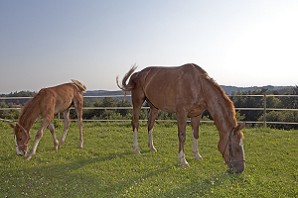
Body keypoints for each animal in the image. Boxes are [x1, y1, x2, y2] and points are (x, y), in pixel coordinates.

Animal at [117, 63, 246, 173]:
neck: (198, 84)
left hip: (154, 107)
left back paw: (152, 147)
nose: (240, 169)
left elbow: (196, 134)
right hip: (137, 102)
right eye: (235, 147)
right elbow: (182, 136)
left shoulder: (197, 115)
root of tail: (138, 74)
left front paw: (197, 155)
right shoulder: (182, 113)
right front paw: (183, 160)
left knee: (150, 125)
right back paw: (136, 149)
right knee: (135, 123)